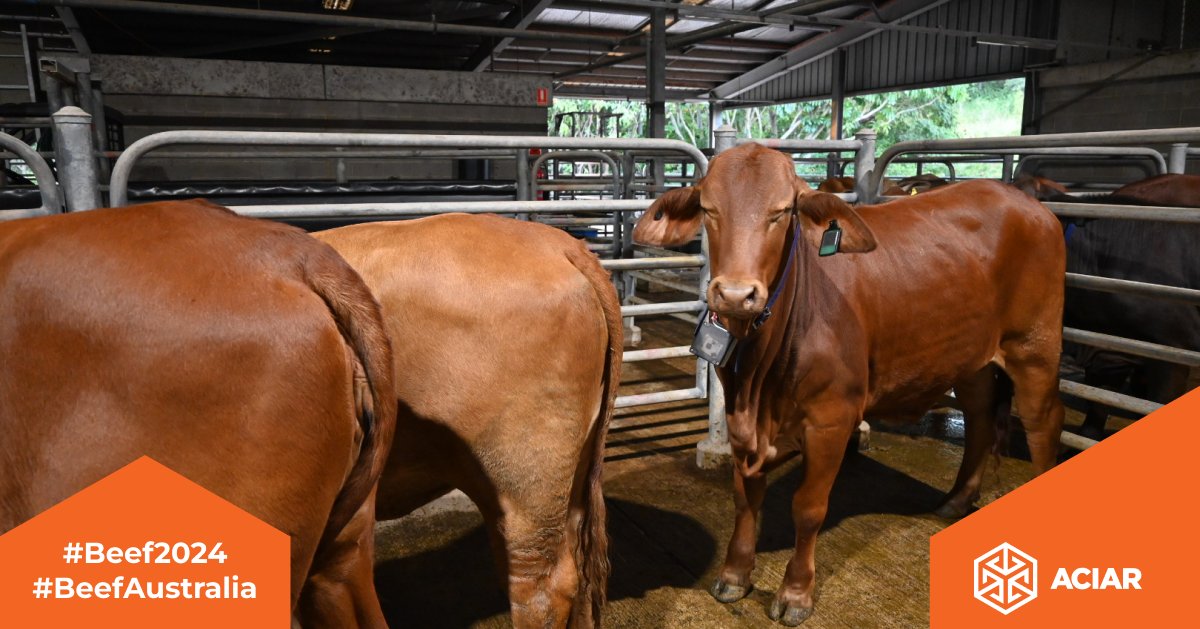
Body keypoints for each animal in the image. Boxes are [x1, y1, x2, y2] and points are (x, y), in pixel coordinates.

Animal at [633, 143, 1065, 624]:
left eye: (782, 212)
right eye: (710, 209)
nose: (734, 295)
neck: (759, 378)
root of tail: (1024, 201)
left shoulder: (831, 421)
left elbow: (808, 508)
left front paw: (796, 593)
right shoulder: (739, 417)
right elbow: (746, 498)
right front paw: (735, 574)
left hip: (1035, 348)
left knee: (1044, 425)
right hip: (972, 358)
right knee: (980, 419)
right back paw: (955, 501)